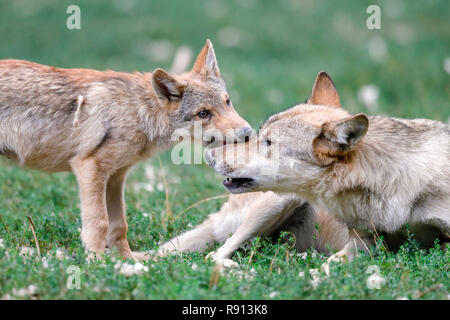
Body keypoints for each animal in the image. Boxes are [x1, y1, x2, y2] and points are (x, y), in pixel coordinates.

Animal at [0, 39, 250, 260]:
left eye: (227, 102)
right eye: (204, 113)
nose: (247, 132)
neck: (138, 110)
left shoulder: (116, 177)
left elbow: (119, 225)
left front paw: (126, 260)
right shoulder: (90, 168)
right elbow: (99, 222)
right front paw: (98, 263)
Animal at [206, 72, 448, 262]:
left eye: (268, 142)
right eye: (258, 135)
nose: (209, 156)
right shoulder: (362, 241)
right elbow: (329, 265)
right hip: (276, 204)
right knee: (215, 254)